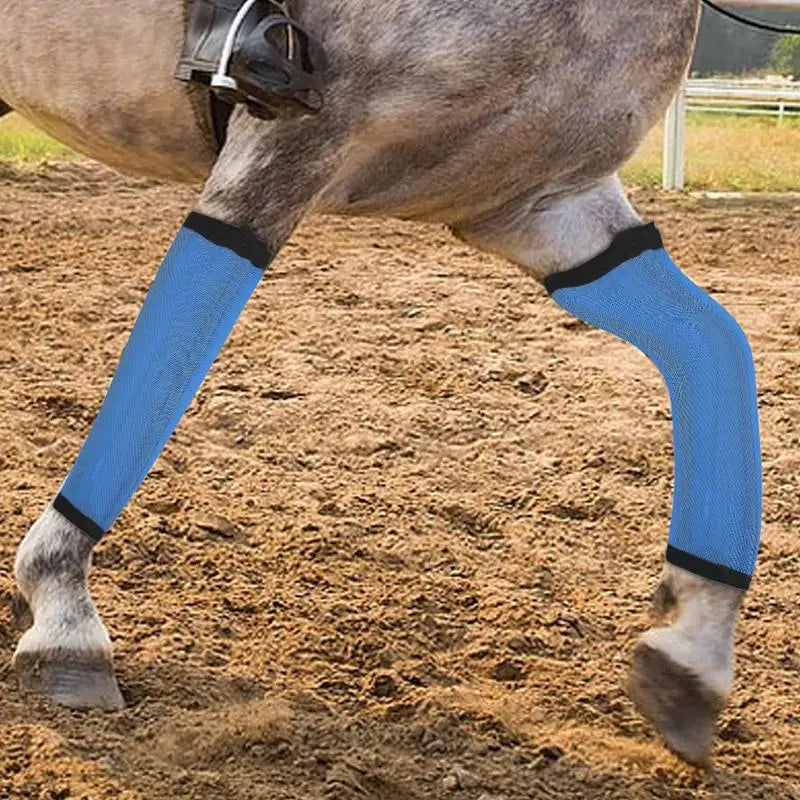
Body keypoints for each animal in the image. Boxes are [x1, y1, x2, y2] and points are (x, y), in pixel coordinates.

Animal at [0, 0, 757, 766]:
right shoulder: (289, 147)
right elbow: (165, 365)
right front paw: (63, 612)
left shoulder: (545, 207)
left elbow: (716, 346)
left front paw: (691, 655)